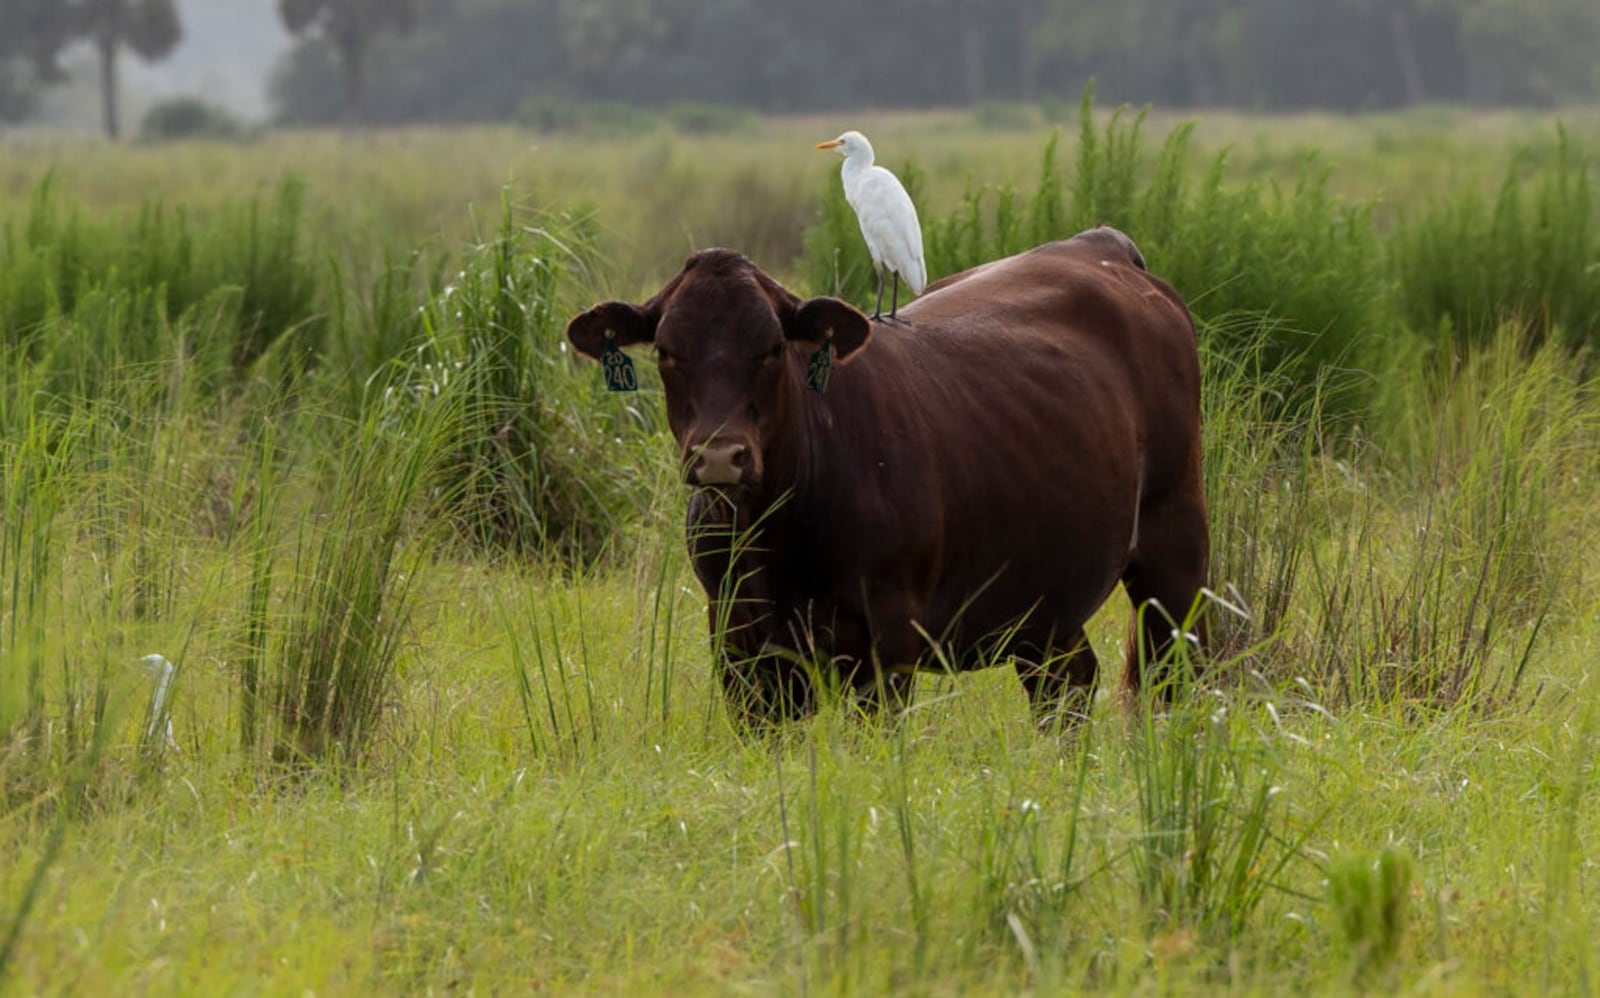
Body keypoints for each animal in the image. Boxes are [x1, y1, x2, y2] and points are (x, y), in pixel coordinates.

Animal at [566, 226, 1209, 729]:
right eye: (667, 351)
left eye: (772, 347)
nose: (721, 457)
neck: (777, 540)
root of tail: (1099, 245)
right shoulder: (739, 643)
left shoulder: (887, 639)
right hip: (1044, 592)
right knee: (1067, 685)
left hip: (1173, 540)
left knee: (1176, 676)